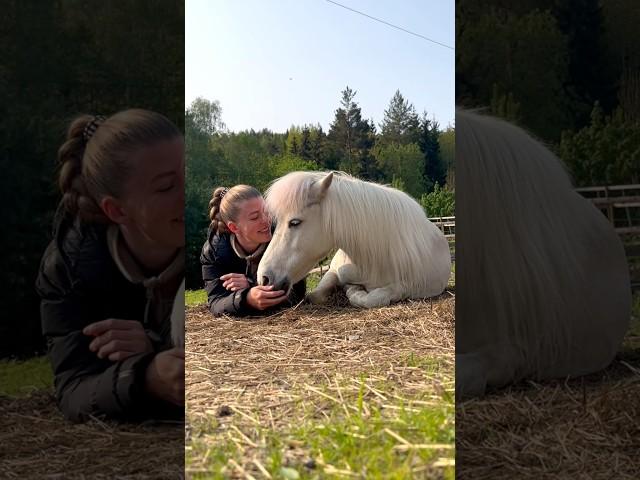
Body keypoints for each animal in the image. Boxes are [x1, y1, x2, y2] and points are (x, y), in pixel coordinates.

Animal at [255, 171, 450, 310]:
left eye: (295, 222)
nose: (264, 277)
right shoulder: (333, 271)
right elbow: (315, 295)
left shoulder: (406, 287)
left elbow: (372, 298)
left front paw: (354, 292)